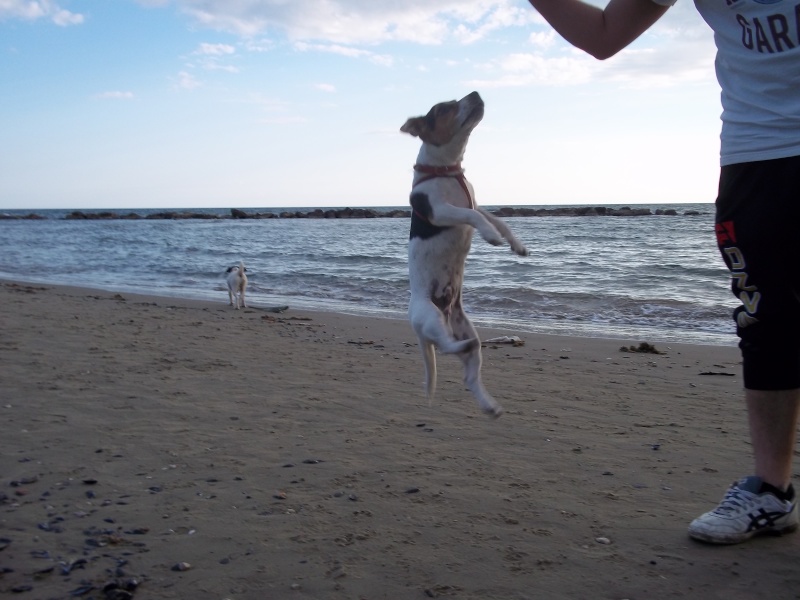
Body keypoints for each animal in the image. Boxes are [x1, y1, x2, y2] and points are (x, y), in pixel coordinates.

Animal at [404, 91, 528, 418]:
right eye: (444, 108)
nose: (475, 94)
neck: (447, 169)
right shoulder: (442, 210)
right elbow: (472, 217)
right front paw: (490, 236)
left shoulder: (476, 202)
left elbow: (497, 219)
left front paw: (515, 244)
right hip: (430, 317)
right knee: (446, 348)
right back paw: (459, 350)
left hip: (464, 328)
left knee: (469, 375)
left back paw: (488, 405)